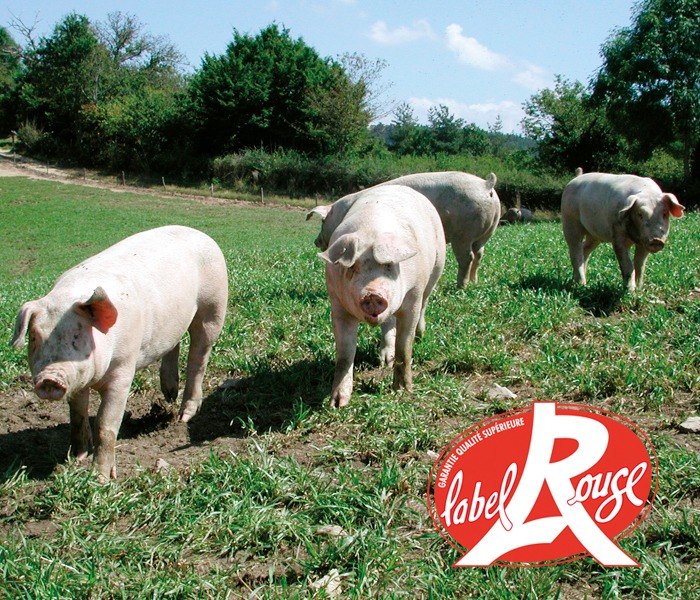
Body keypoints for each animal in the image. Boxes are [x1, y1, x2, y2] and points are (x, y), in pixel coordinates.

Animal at [10, 225, 228, 482]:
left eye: (77, 336)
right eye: (34, 338)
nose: (49, 378)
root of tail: (199, 233)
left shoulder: (123, 370)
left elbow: (105, 425)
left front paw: (100, 479)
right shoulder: (78, 379)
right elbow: (77, 415)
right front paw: (77, 458)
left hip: (213, 306)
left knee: (198, 358)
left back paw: (182, 416)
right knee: (172, 345)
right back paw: (169, 394)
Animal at [308, 171, 500, 288]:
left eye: (323, 221)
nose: (315, 241)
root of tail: (486, 185)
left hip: (463, 234)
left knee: (467, 257)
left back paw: (460, 286)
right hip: (487, 232)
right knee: (479, 254)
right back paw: (474, 282)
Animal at [320, 184, 446, 408]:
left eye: (389, 266)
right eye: (352, 268)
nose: (372, 294)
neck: (371, 230)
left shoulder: (412, 296)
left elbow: (405, 346)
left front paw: (403, 391)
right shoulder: (337, 303)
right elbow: (344, 354)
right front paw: (337, 404)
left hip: (436, 268)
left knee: (425, 302)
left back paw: (420, 335)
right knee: (389, 324)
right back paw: (384, 360)